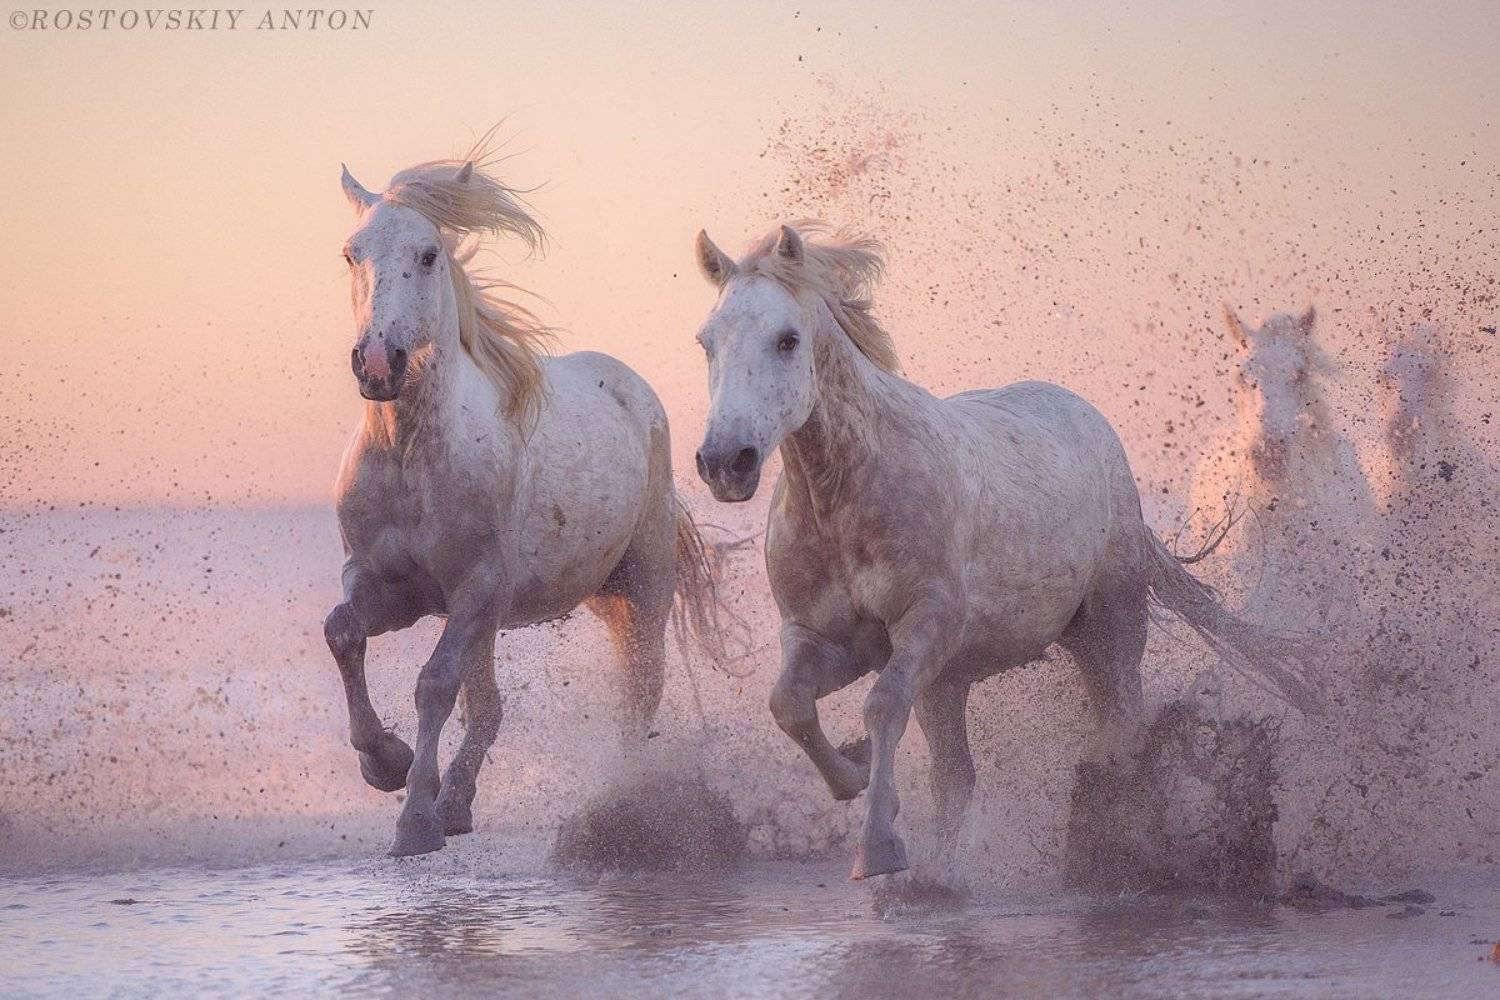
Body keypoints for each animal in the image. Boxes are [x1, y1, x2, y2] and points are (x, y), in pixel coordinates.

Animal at [324, 142, 722, 857]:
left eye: (429, 254)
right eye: (352, 253)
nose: (377, 363)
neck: (411, 459)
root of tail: (631, 387)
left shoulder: (477, 585)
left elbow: (434, 684)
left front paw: (414, 820)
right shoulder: (387, 587)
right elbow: (343, 632)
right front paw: (386, 764)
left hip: (642, 587)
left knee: (639, 694)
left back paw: (616, 806)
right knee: (490, 708)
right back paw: (457, 801)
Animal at [689, 223, 1316, 879]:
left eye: (787, 340)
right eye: (707, 341)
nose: (725, 462)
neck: (847, 496)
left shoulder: (928, 623)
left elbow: (883, 706)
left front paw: (878, 848)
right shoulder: (826, 638)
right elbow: (789, 705)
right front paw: (854, 774)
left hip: (1111, 631)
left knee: (1122, 731)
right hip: (963, 678)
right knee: (958, 777)